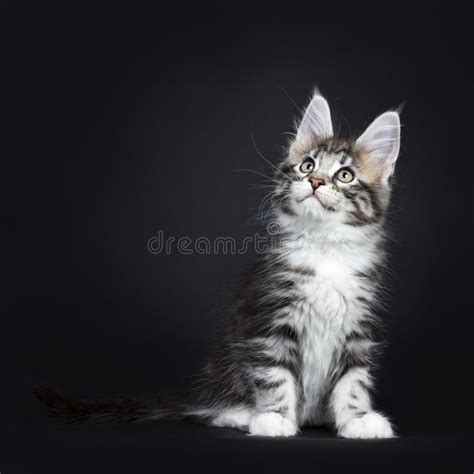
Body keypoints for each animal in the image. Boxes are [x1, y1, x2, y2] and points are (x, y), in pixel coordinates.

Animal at [36, 90, 400, 440]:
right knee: (214, 410)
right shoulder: (269, 321)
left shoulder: (359, 328)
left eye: (345, 175)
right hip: (228, 363)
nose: (315, 182)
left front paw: (358, 419)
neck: (324, 249)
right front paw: (274, 418)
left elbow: (353, 381)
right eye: (308, 166)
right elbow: (274, 375)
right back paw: (242, 415)